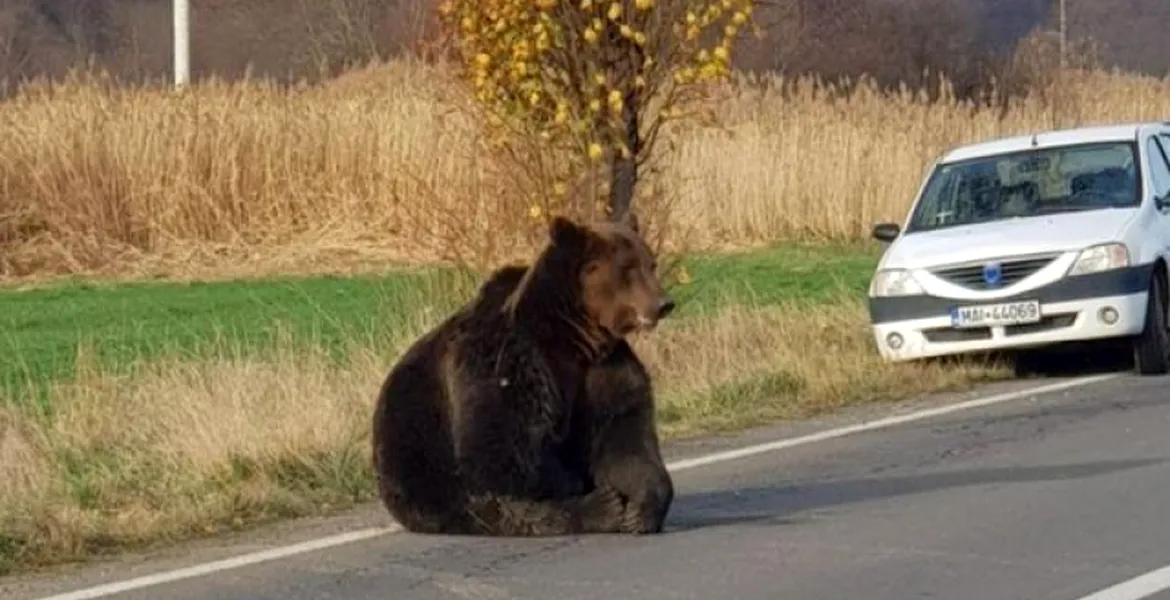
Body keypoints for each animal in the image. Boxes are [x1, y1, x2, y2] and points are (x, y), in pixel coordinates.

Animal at [369, 212, 673, 535]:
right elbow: (501, 456)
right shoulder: (505, 364)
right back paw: (599, 507)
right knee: (501, 505)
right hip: (420, 468)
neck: (572, 338)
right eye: (628, 268)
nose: (663, 303)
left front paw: (641, 510)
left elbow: (623, 436)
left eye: (650, 263)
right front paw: (609, 504)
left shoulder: (603, 371)